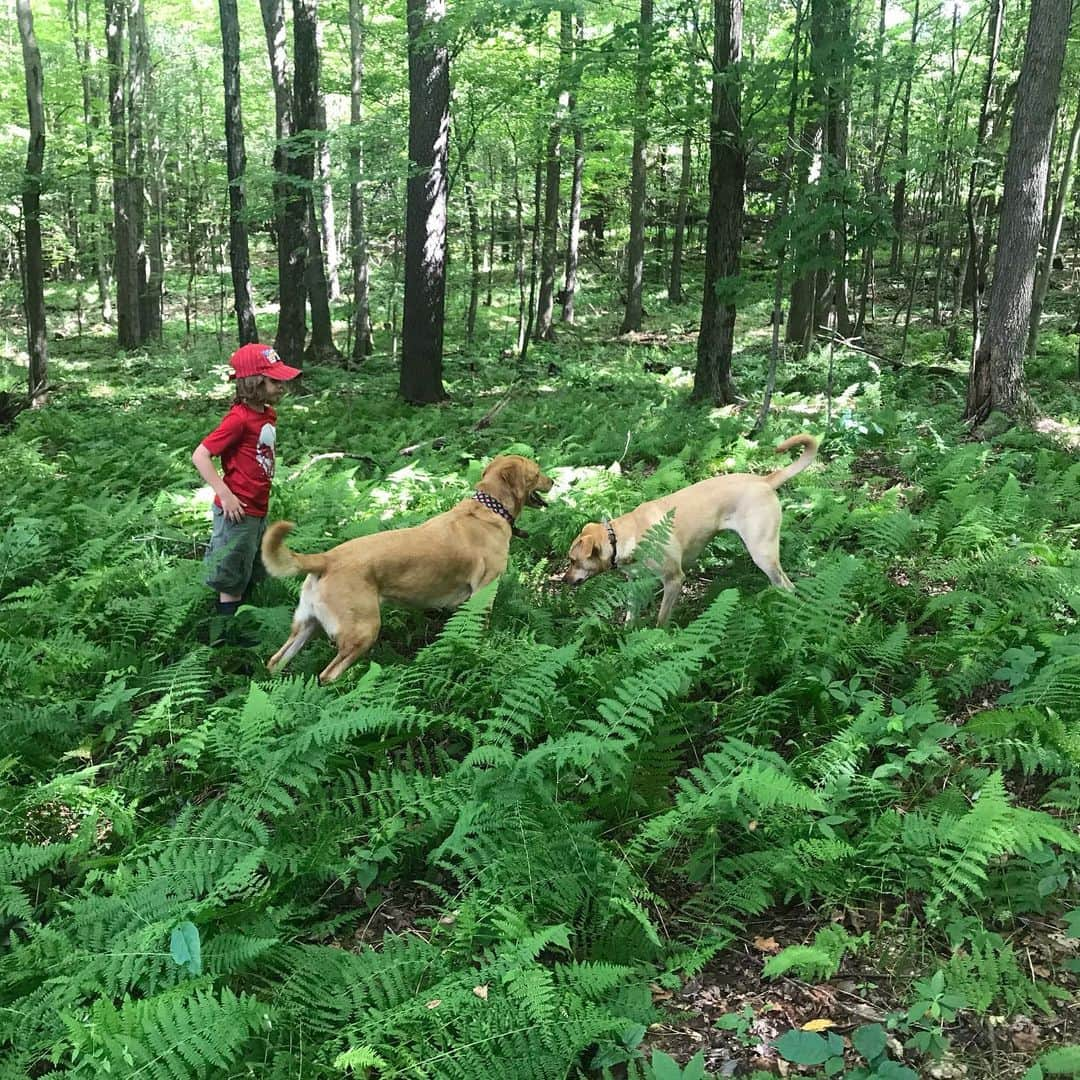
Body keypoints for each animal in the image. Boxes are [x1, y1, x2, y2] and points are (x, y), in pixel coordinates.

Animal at [259, 455, 548, 682]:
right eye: (536, 473)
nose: (552, 482)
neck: (490, 508)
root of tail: (327, 558)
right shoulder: (483, 594)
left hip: (305, 626)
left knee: (275, 662)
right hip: (363, 631)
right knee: (328, 674)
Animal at [565, 434, 816, 626]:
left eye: (573, 561)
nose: (564, 580)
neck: (625, 536)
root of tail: (764, 480)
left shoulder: (673, 580)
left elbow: (661, 619)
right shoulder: (635, 584)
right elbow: (630, 616)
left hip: (762, 552)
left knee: (787, 586)